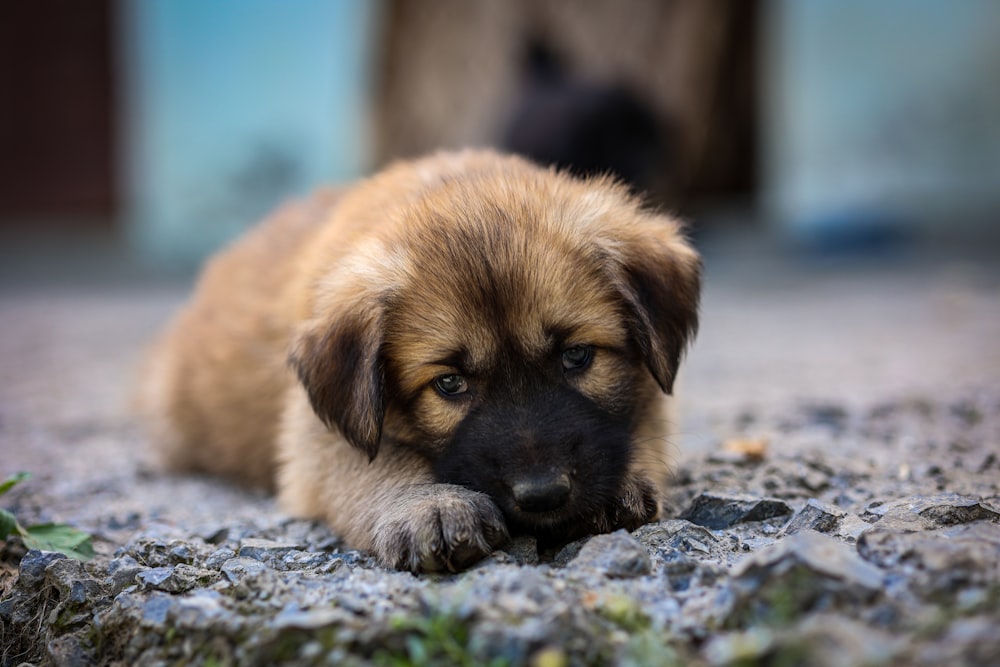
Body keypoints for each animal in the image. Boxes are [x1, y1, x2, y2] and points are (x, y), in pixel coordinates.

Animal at [143, 149, 704, 572]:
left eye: (577, 355)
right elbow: (378, 465)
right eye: (449, 383)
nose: (542, 495)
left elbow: (638, 422)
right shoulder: (315, 435)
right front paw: (431, 506)